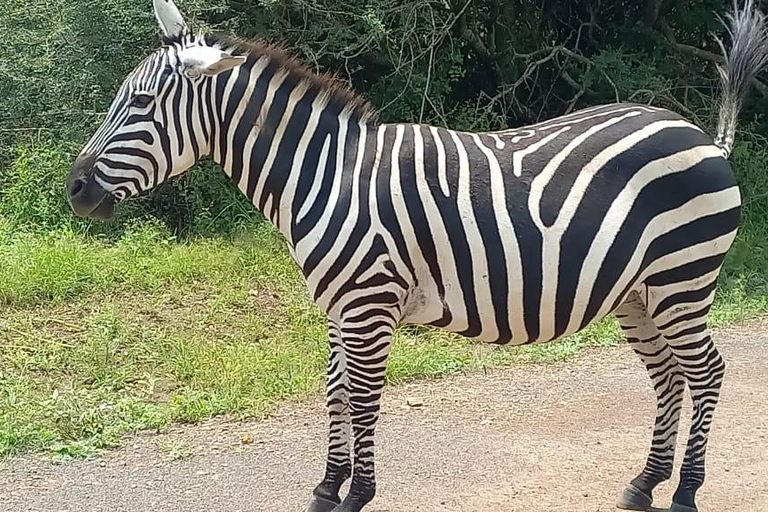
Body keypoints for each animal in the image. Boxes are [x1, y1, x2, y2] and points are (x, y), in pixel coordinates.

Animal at [67, 1, 768, 512]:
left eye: (139, 104)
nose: (73, 189)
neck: (326, 176)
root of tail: (701, 135)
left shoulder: (369, 304)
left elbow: (362, 397)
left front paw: (357, 494)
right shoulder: (338, 307)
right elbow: (334, 394)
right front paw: (327, 488)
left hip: (681, 281)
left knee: (706, 373)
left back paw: (684, 493)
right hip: (638, 294)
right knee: (670, 378)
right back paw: (644, 485)